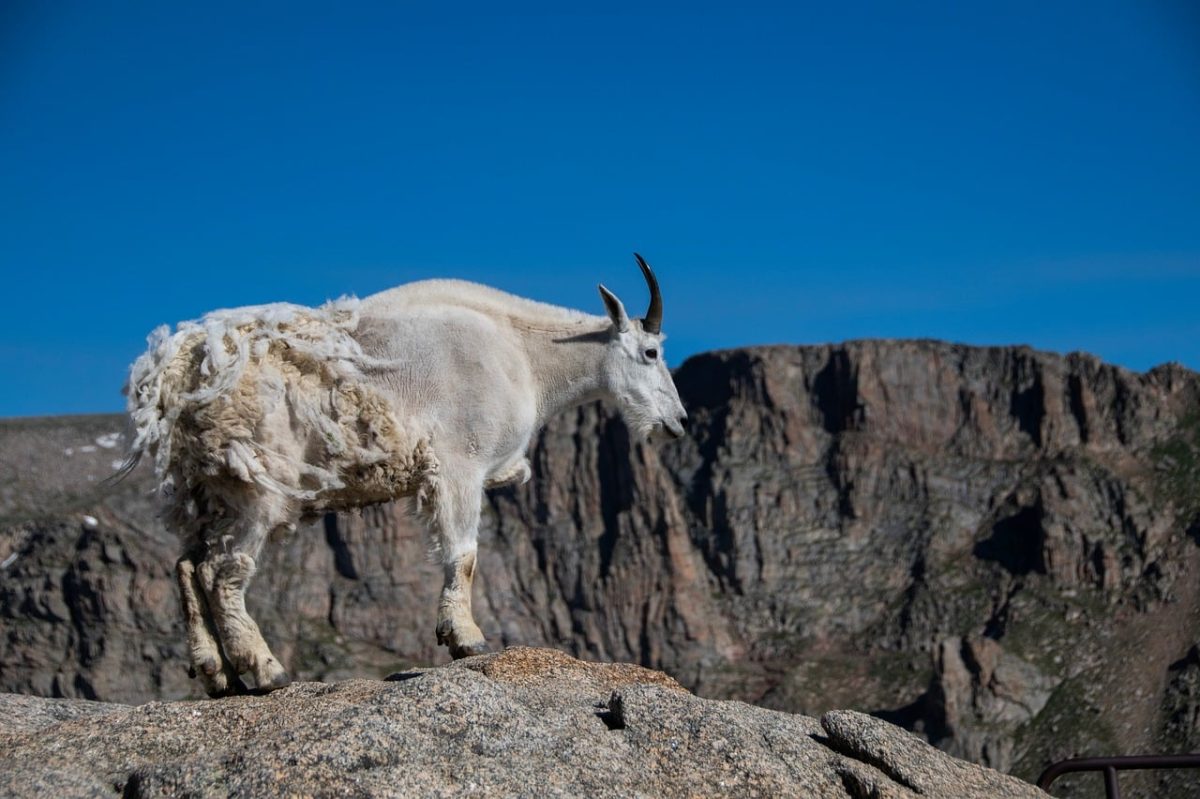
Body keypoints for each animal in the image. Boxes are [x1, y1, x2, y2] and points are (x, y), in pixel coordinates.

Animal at [122, 254, 687, 696]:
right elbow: (464, 554)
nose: (677, 423)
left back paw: (216, 673)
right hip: (257, 487)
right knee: (223, 572)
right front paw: (465, 639)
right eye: (652, 352)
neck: (526, 357)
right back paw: (264, 670)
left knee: (188, 565)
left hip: (208, 488)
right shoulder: (459, 465)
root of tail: (178, 370)